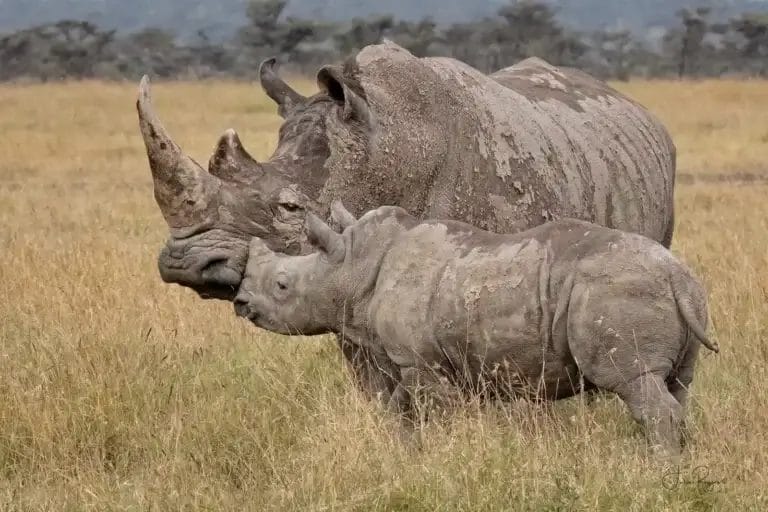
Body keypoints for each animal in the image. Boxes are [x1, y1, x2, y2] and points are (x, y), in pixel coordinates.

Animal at [234, 202, 718, 456]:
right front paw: (401, 448)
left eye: (282, 285)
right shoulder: (413, 360)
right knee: (676, 384)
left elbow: (436, 411)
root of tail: (677, 275)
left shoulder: (421, 362)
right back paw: (678, 460)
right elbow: (398, 409)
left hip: (614, 290)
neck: (351, 267)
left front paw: (444, 452)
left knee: (636, 383)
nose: (241, 303)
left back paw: (658, 468)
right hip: (677, 294)